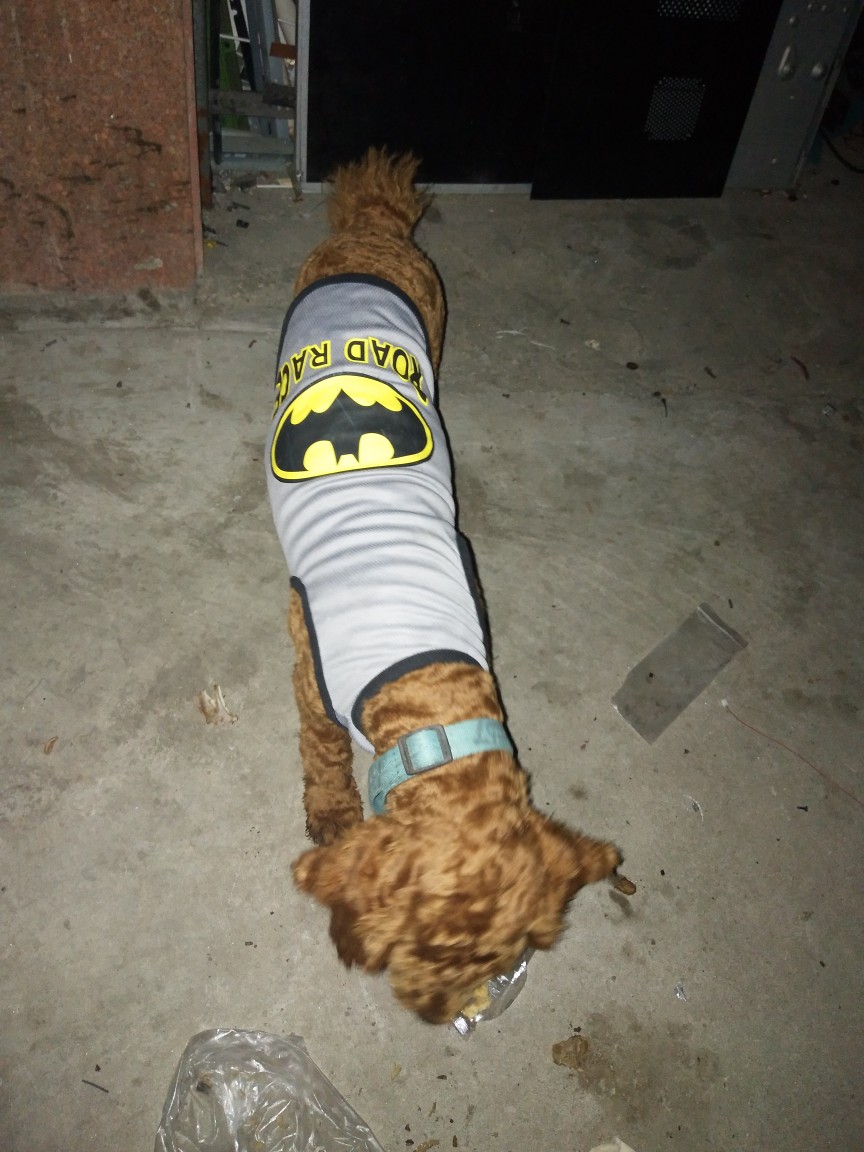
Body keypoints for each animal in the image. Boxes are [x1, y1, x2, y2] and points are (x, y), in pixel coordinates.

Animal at [265, 149, 620, 1023]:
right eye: (419, 949)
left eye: (496, 958)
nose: (437, 1014)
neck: (429, 704)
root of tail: (372, 230)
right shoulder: (311, 684)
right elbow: (322, 758)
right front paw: (331, 814)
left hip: (432, 320)